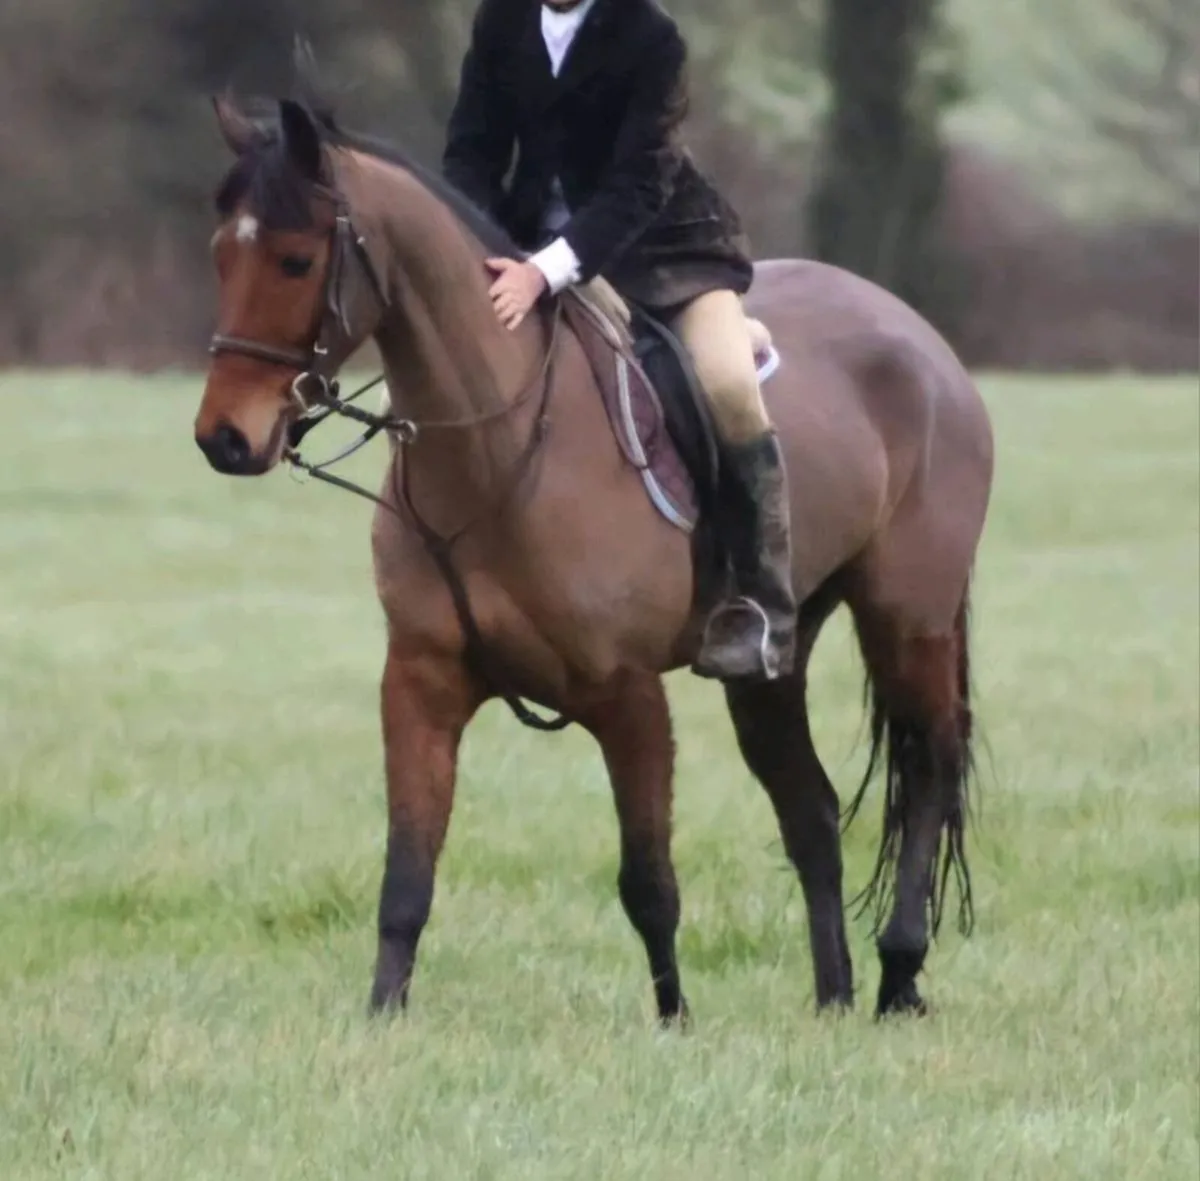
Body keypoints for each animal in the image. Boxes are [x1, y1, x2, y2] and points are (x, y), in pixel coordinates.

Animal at [194, 91, 994, 1024]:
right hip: (773, 660)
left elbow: (648, 882)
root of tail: (922, 338)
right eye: (221, 255)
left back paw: (898, 974)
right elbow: (407, 878)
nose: (224, 438)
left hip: (909, 618)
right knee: (813, 811)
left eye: (294, 260)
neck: (499, 452)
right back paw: (832, 998)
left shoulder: (627, 695)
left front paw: (675, 1022)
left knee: (929, 767)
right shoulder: (421, 684)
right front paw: (383, 1018)